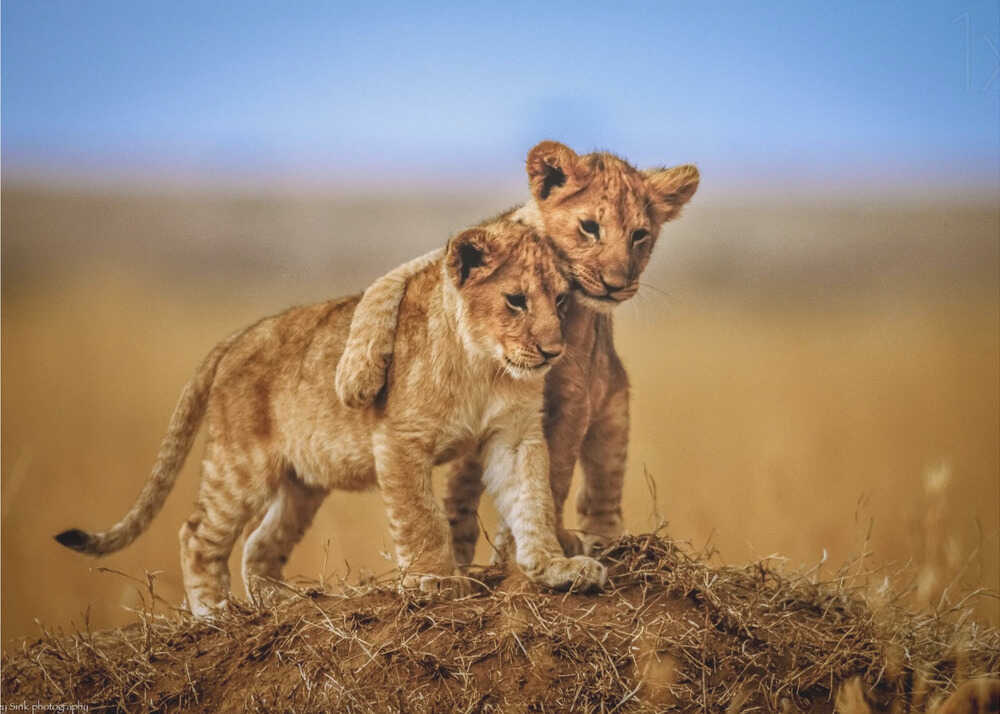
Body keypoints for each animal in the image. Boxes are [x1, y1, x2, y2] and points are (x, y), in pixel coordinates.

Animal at [55, 218, 607, 617]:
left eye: (560, 299)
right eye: (515, 300)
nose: (553, 351)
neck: (484, 366)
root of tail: (238, 336)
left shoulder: (514, 437)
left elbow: (533, 500)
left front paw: (556, 567)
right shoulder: (400, 438)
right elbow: (422, 517)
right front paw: (435, 580)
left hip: (302, 483)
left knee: (259, 544)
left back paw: (283, 602)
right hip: (241, 466)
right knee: (197, 535)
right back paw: (214, 614)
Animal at [334, 141, 699, 562]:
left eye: (640, 235)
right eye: (590, 227)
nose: (615, 285)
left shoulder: (574, 396)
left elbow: (553, 474)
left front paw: (536, 544)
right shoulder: (451, 259)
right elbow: (385, 285)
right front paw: (356, 377)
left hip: (613, 411)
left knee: (600, 492)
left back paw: (600, 542)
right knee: (460, 491)